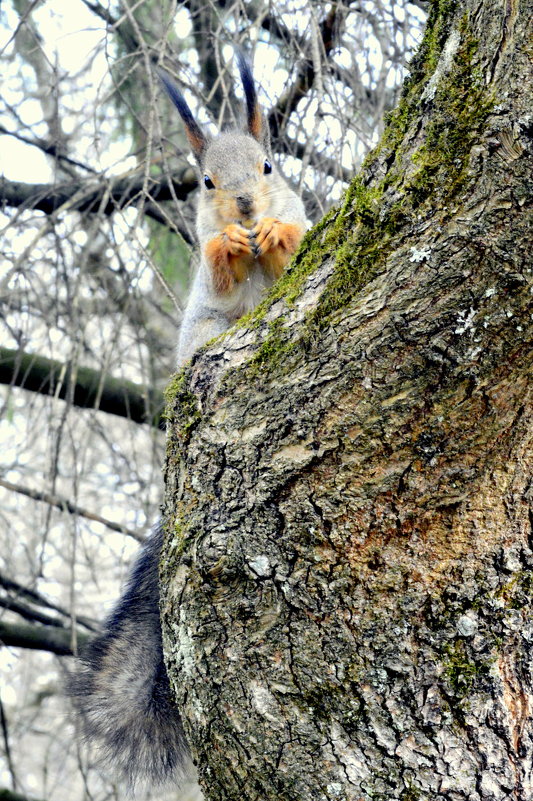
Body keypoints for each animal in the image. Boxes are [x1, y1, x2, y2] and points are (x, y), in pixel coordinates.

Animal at [68, 53, 306, 792]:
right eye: (206, 182)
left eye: (269, 165)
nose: (246, 208)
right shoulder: (209, 273)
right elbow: (219, 269)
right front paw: (230, 242)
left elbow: (297, 248)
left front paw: (276, 234)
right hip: (198, 338)